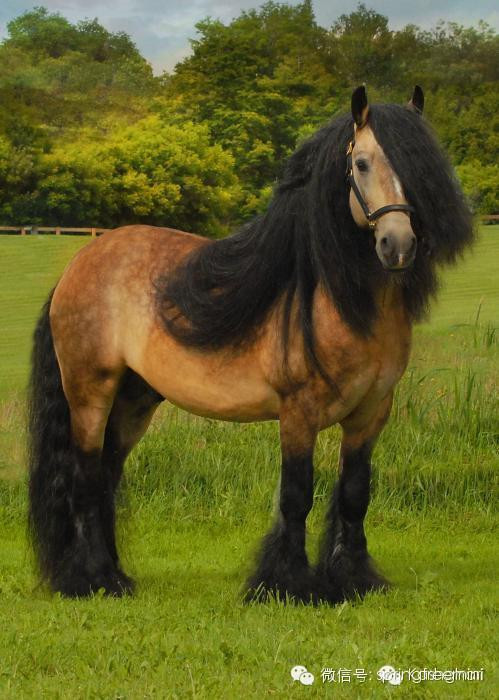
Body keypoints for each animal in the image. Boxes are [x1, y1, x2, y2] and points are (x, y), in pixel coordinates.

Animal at [28, 86, 473, 602]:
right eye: (361, 163)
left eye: (420, 167)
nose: (397, 245)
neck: (335, 299)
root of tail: (78, 264)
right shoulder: (298, 412)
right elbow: (296, 496)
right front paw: (288, 583)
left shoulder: (371, 413)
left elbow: (354, 494)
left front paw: (352, 579)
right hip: (90, 394)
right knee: (84, 478)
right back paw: (92, 579)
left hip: (134, 400)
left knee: (106, 477)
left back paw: (117, 574)